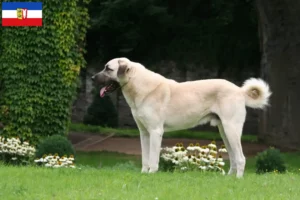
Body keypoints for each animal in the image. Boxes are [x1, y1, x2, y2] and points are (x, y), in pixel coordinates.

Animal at [91, 57, 272, 177]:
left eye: (108, 68)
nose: (92, 78)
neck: (138, 85)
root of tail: (239, 90)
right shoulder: (144, 133)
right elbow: (145, 157)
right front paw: (143, 174)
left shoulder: (156, 131)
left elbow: (153, 157)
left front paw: (151, 174)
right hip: (225, 131)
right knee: (234, 158)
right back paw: (229, 178)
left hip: (231, 129)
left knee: (241, 158)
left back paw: (238, 179)